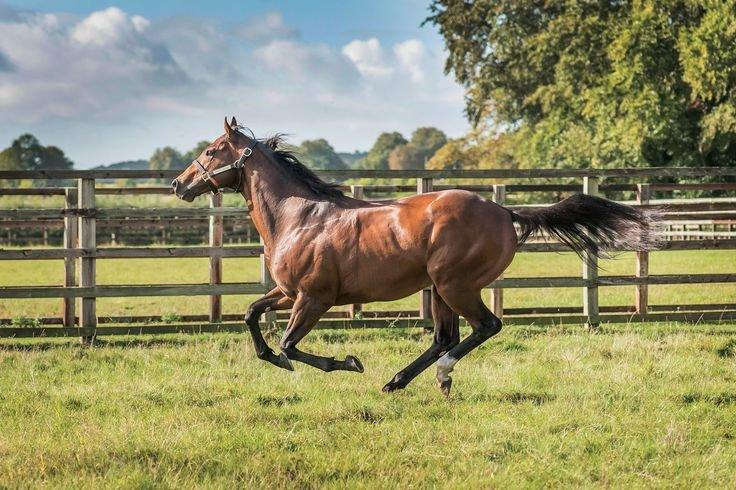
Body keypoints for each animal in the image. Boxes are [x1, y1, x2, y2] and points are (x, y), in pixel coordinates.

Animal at [172, 117, 660, 396]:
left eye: (212, 150)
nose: (178, 184)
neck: (300, 216)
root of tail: (504, 211)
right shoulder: (287, 291)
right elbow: (253, 315)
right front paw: (273, 359)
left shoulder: (313, 297)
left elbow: (290, 344)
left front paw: (347, 363)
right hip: (440, 290)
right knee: (444, 337)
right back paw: (397, 382)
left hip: (454, 285)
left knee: (484, 328)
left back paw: (438, 376)